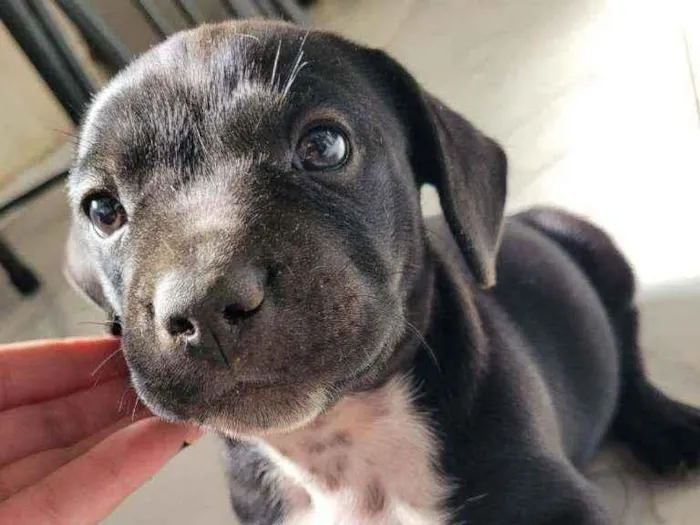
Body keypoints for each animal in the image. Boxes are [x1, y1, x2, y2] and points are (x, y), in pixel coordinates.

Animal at [67, 20, 700, 524]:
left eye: (324, 145)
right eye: (103, 211)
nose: (202, 304)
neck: (338, 448)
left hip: (595, 251)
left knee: (627, 351)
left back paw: (668, 426)